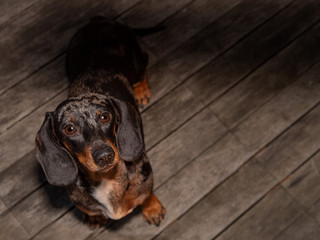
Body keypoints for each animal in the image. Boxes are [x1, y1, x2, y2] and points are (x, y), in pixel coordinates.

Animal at [34, 16, 165, 227]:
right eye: (69, 129)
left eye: (105, 116)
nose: (105, 156)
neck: (106, 178)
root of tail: (102, 21)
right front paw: (94, 216)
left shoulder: (145, 175)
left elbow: (146, 194)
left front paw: (152, 208)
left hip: (136, 64)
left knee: (143, 63)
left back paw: (141, 90)